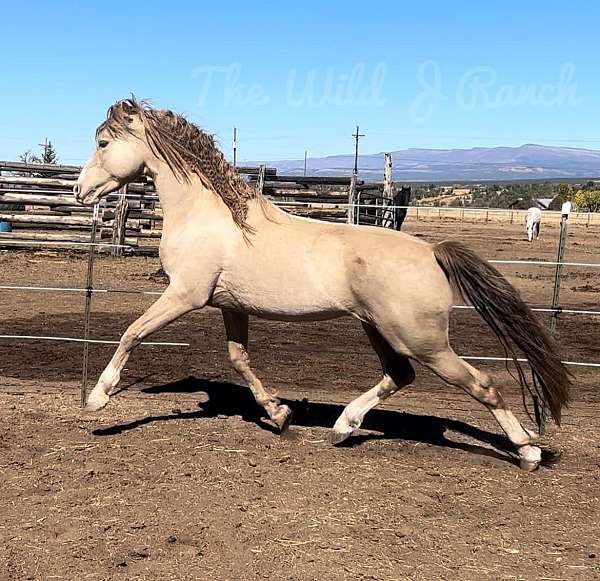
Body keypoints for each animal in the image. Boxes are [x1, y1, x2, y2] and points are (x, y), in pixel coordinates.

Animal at [72, 98, 568, 472]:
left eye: (103, 142)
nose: (80, 191)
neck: (210, 215)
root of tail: (432, 252)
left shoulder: (185, 295)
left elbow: (132, 333)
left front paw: (98, 398)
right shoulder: (231, 305)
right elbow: (239, 359)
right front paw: (279, 415)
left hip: (422, 339)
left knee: (480, 383)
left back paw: (528, 452)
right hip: (379, 328)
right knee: (399, 374)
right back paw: (343, 427)